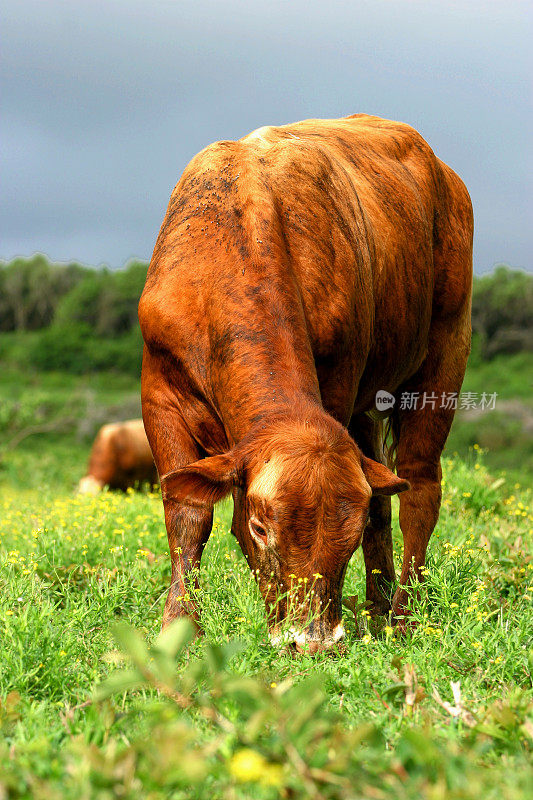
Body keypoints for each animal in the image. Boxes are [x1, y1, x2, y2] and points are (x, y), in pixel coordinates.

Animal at [137, 111, 470, 648]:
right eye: (260, 526)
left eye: (344, 537)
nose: (311, 641)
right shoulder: (159, 395)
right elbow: (188, 513)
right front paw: (178, 629)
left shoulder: (338, 382)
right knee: (386, 497)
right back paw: (378, 611)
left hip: (445, 352)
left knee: (419, 487)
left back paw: (402, 620)